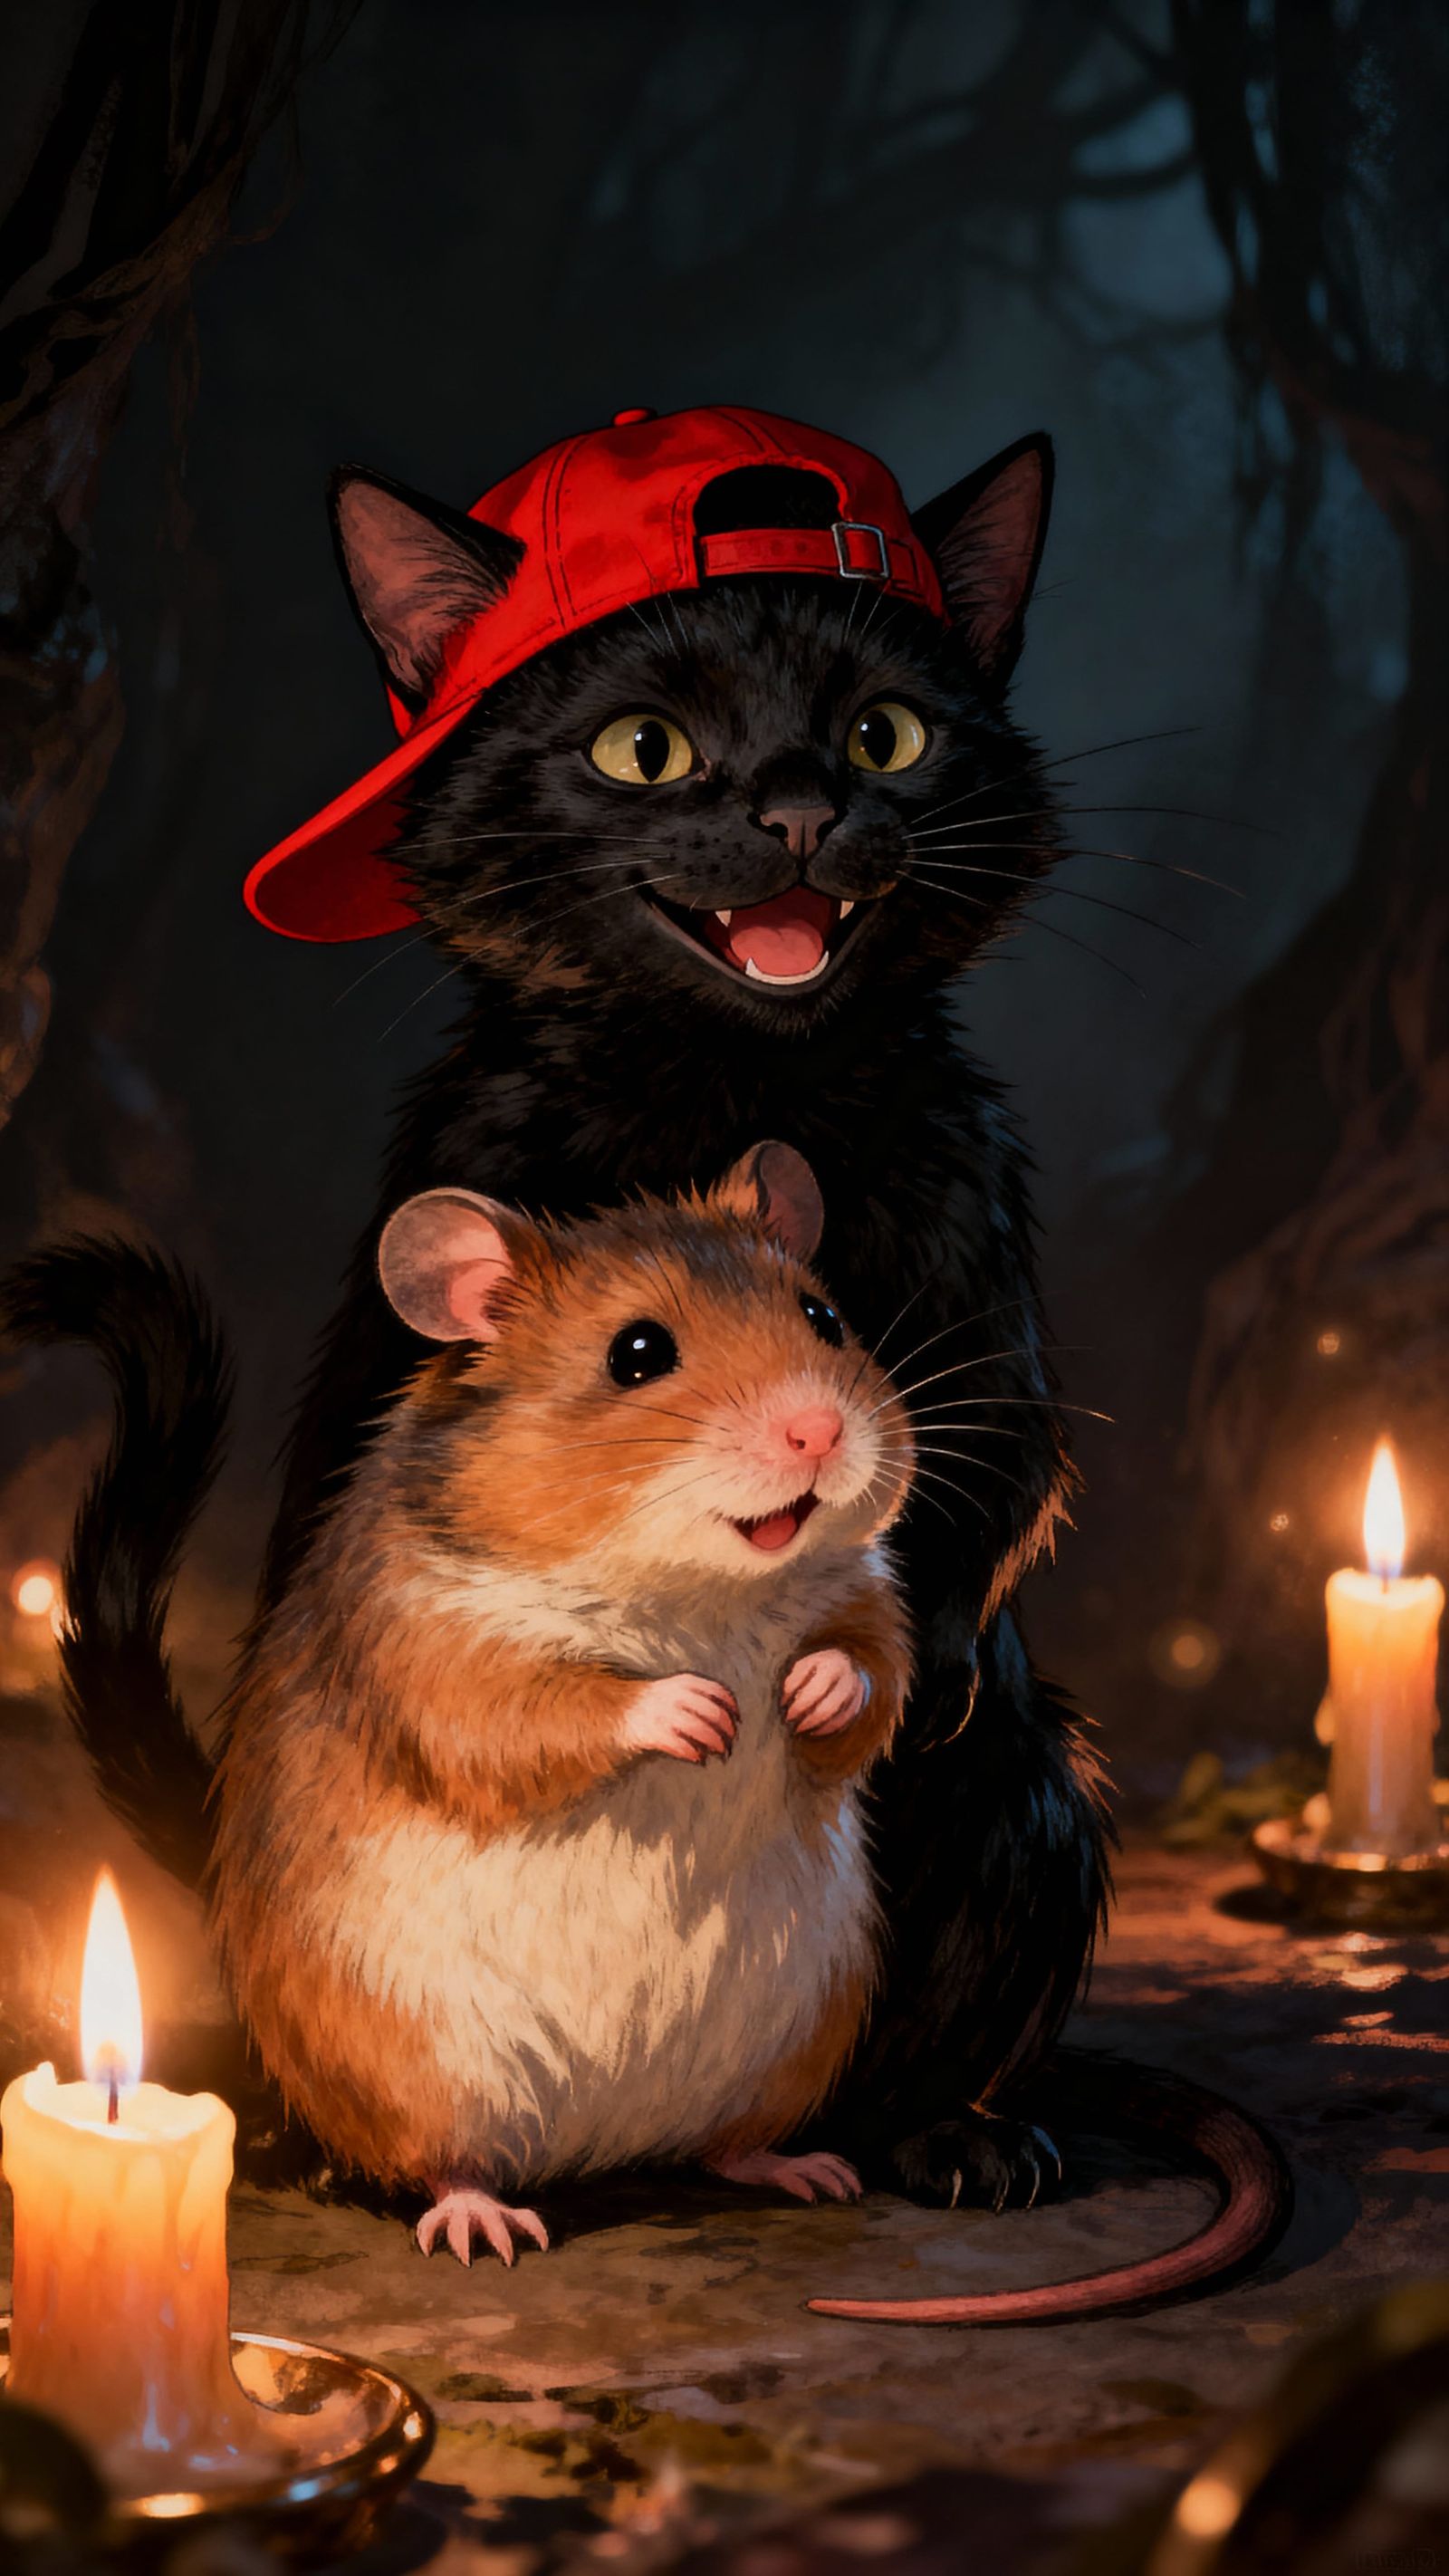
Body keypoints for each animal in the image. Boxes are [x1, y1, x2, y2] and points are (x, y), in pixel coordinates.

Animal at [207, 1141, 914, 2261]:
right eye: (637, 1352)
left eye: (824, 1317)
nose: (818, 1430)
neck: (694, 1588)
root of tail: (597, 2145)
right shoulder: (438, 1651)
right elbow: (544, 1712)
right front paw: (701, 1715)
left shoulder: (868, 1597)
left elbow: (867, 1676)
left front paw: (802, 1691)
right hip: (417, 2056)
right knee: (443, 2159)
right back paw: (484, 2227)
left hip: (802, 2029)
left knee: (723, 2143)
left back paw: (810, 2171)